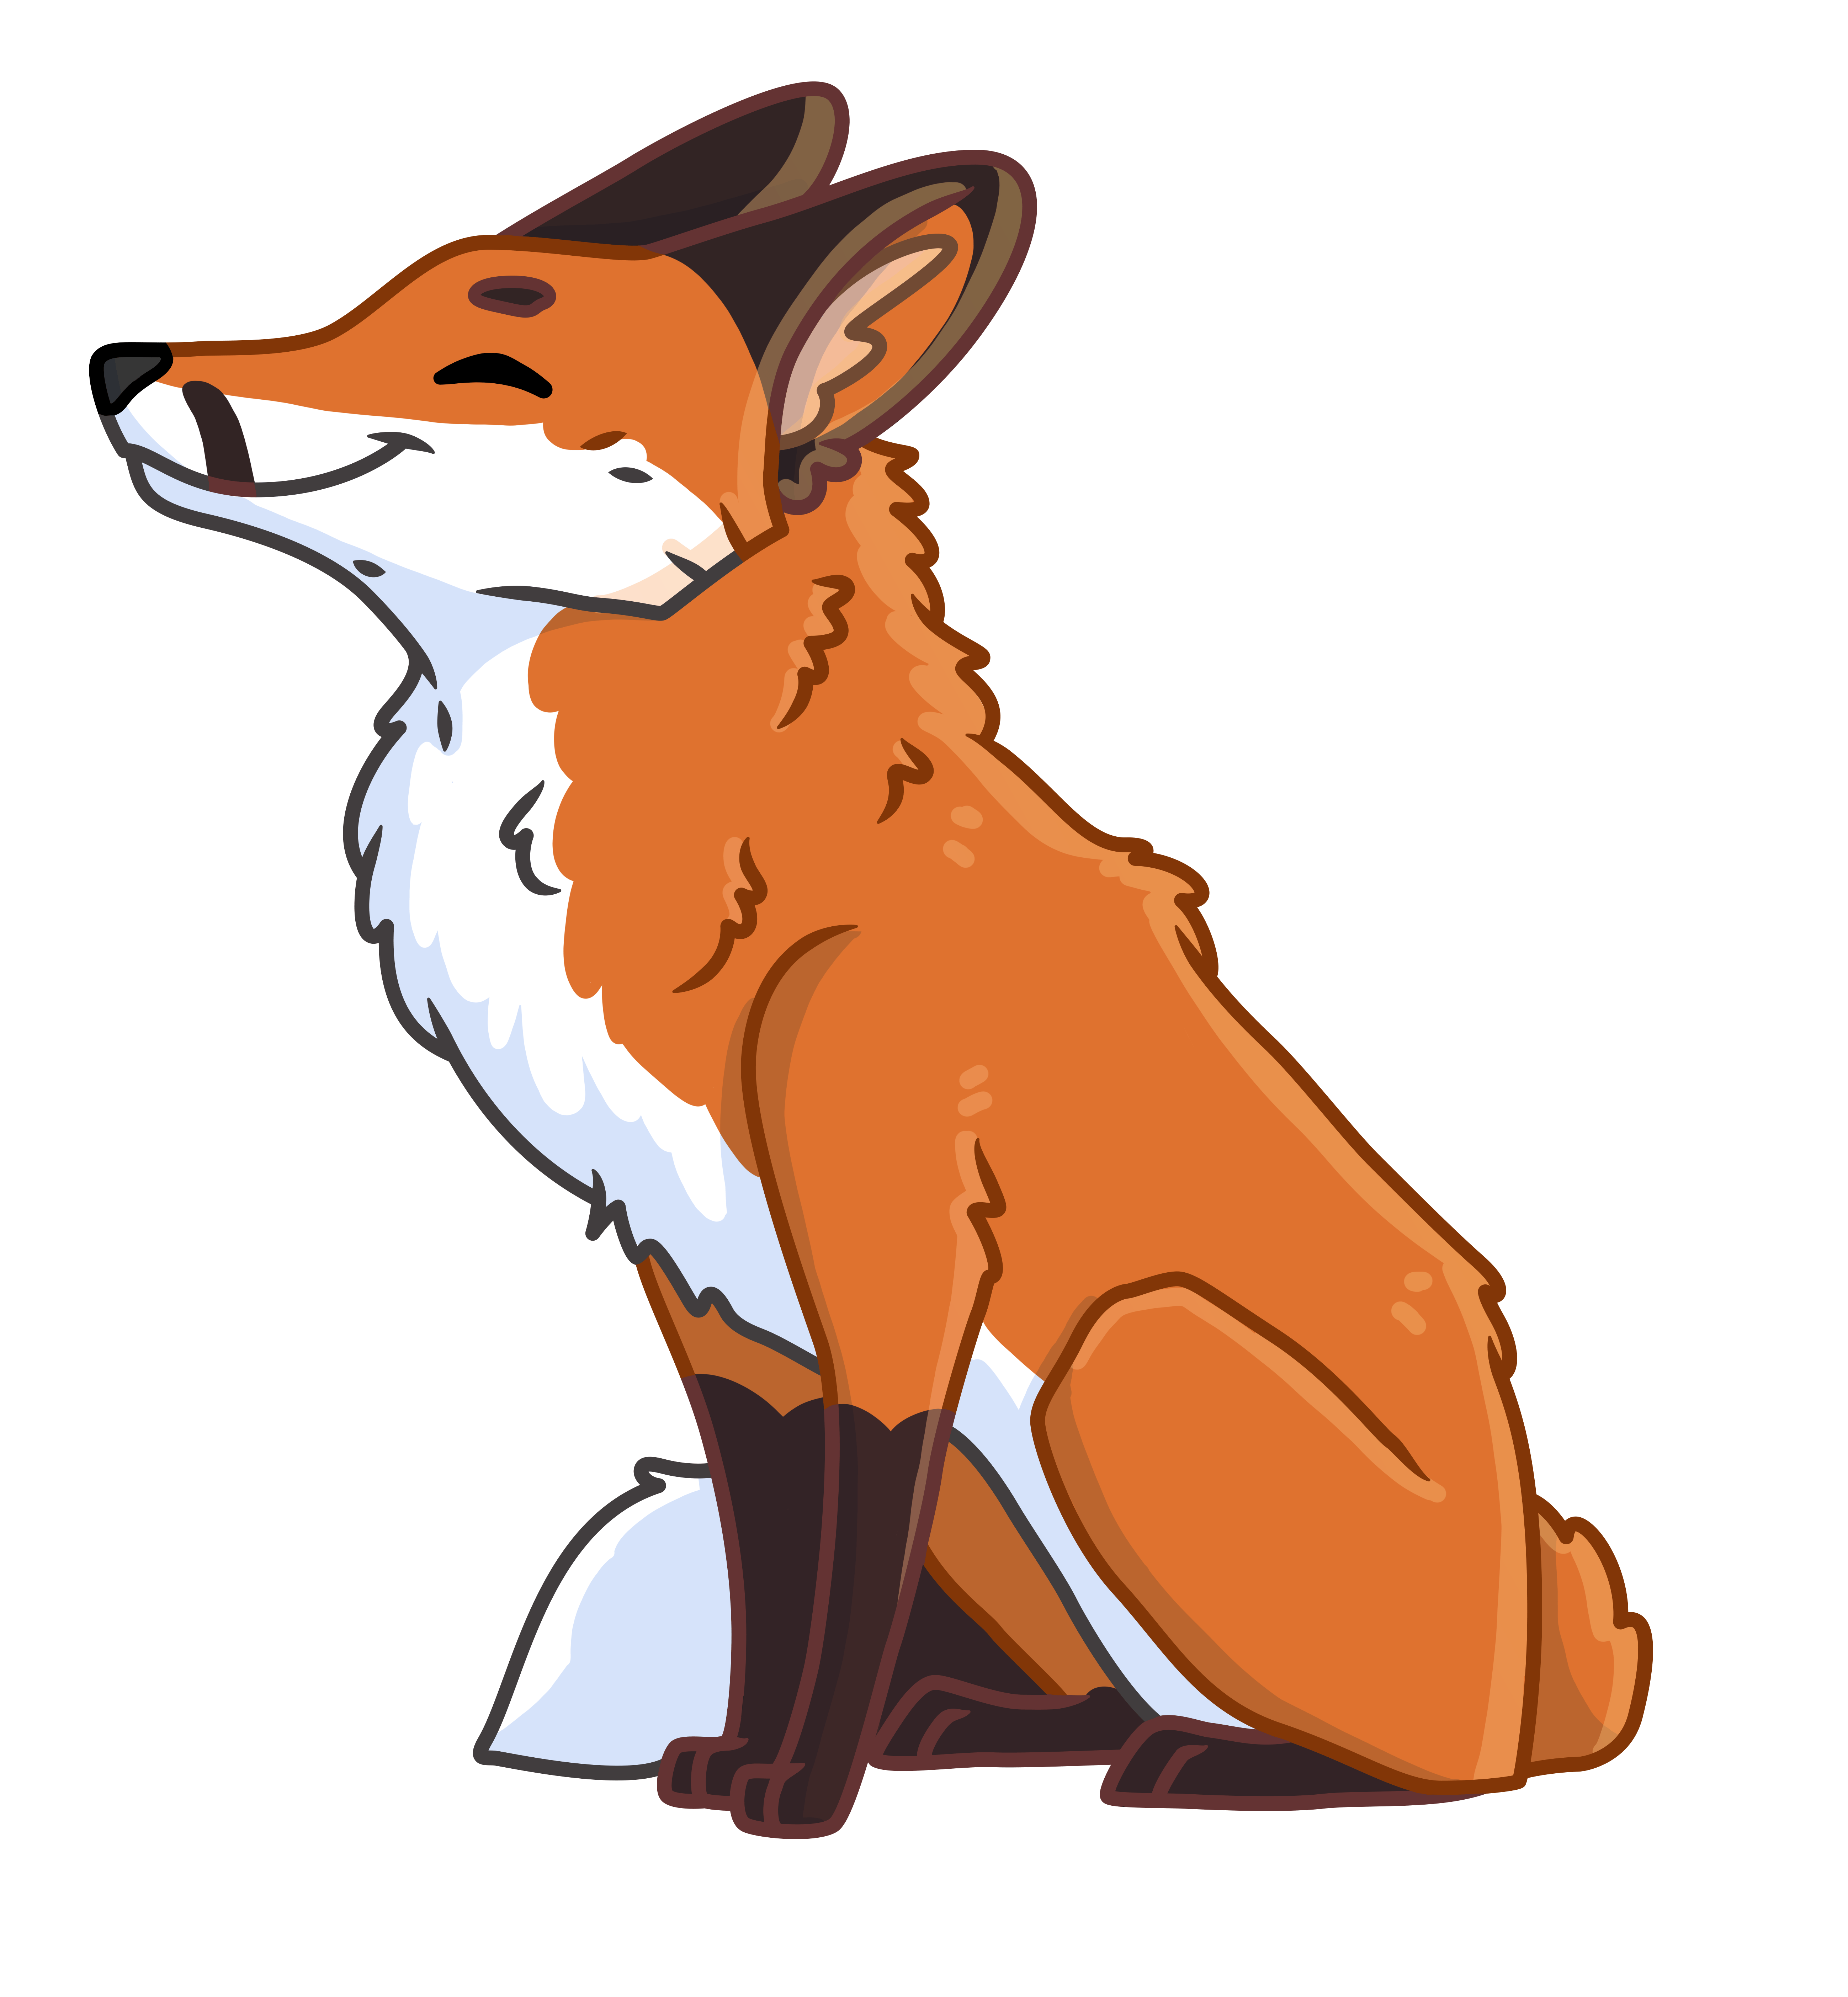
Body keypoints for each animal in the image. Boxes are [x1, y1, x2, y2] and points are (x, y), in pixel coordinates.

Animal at [89, 83, 1649, 1837]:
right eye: (379, 303)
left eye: (490, 367)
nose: (124, 365)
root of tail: (1562, 1671)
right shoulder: (713, 1285)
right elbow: (779, 1554)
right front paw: (736, 1761)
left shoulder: (891, 1255)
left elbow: (844, 1564)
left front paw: (800, 1787)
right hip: (1010, 1479)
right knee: (1089, 1690)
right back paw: (989, 1723)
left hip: (1117, 1362)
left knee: (1420, 1769)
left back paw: (1221, 1765)